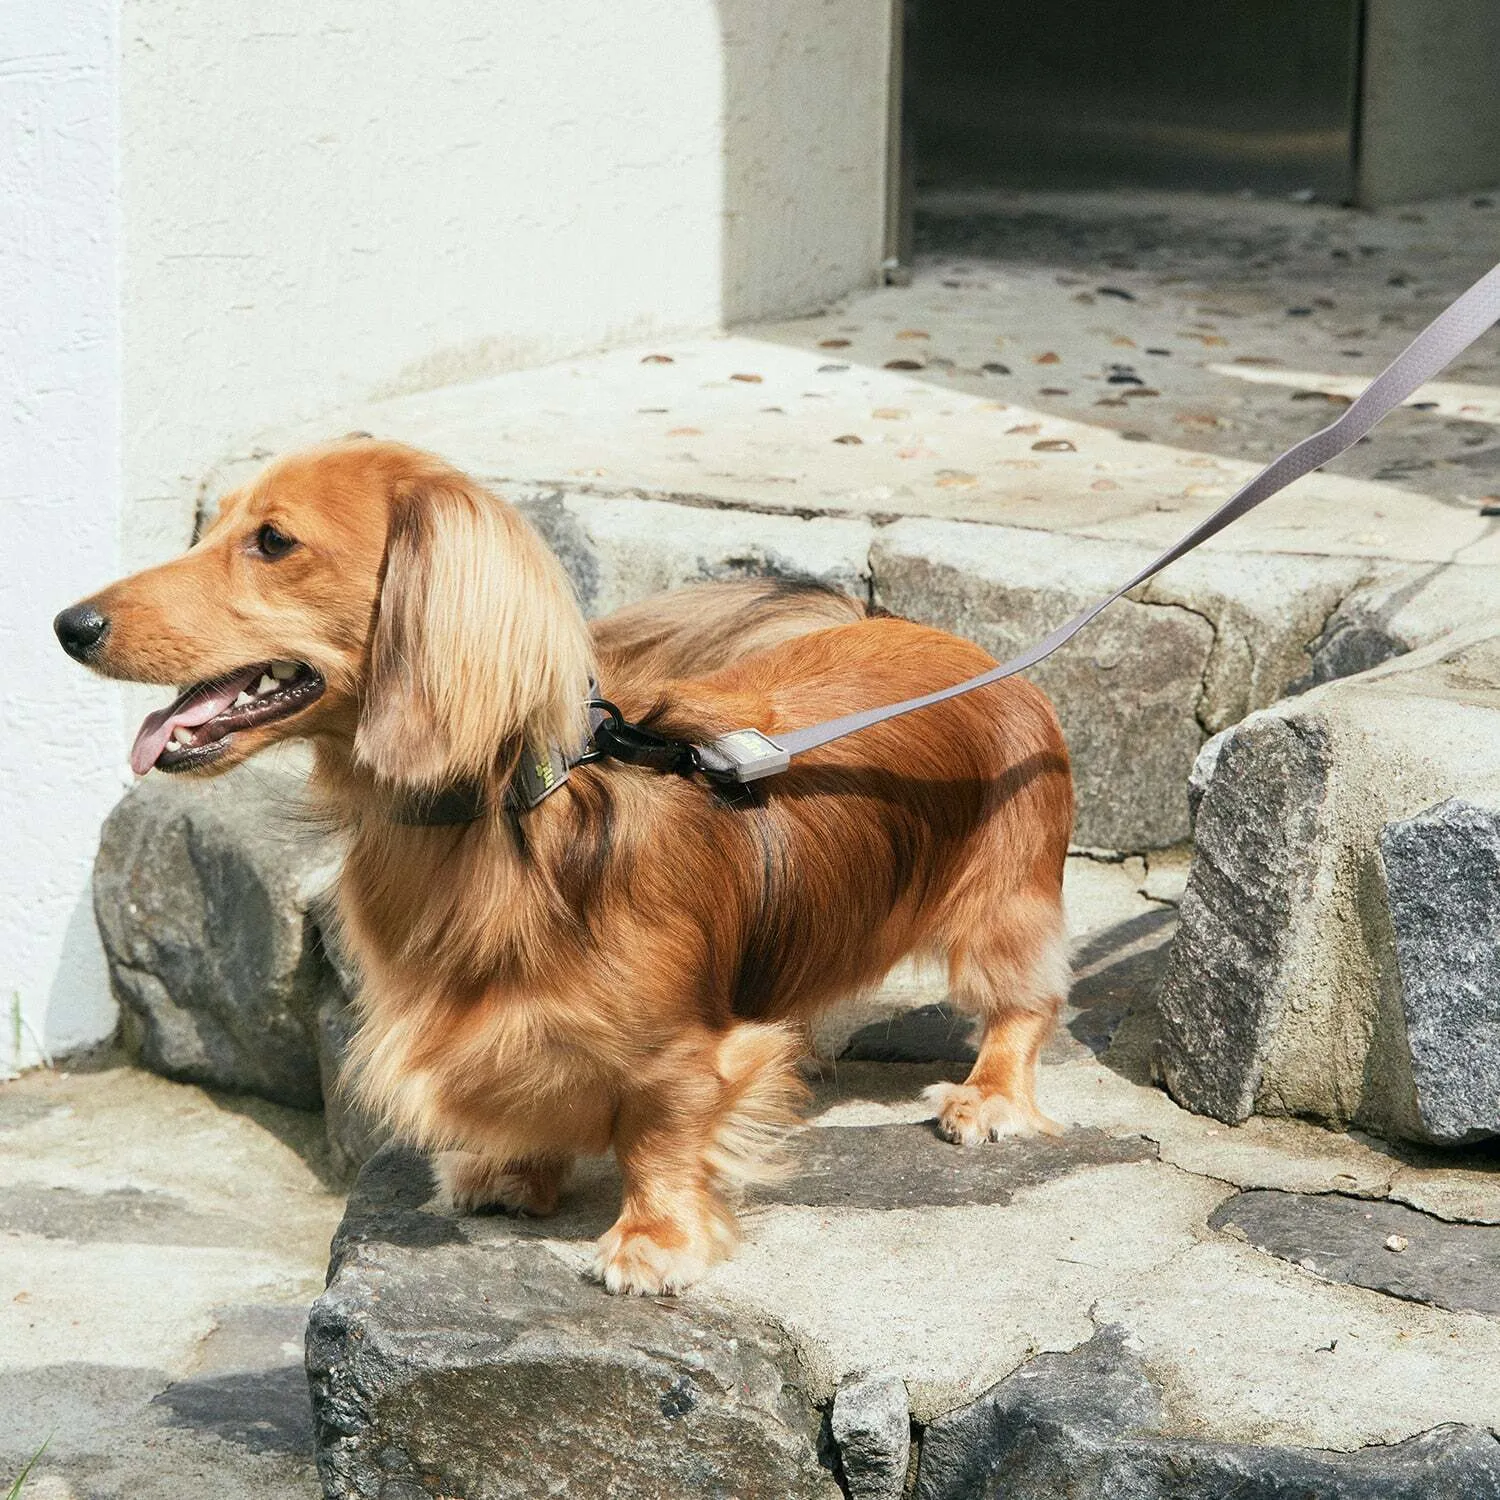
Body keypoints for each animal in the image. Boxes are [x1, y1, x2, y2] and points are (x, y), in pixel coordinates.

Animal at [55, 438, 1068, 1296]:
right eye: (215, 524)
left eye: (273, 541)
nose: (70, 624)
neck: (503, 816)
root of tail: (951, 641)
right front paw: (513, 1171)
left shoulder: (683, 1054)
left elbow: (662, 1133)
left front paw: (652, 1244)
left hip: (1002, 909)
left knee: (1025, 1003)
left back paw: (988, 1095)